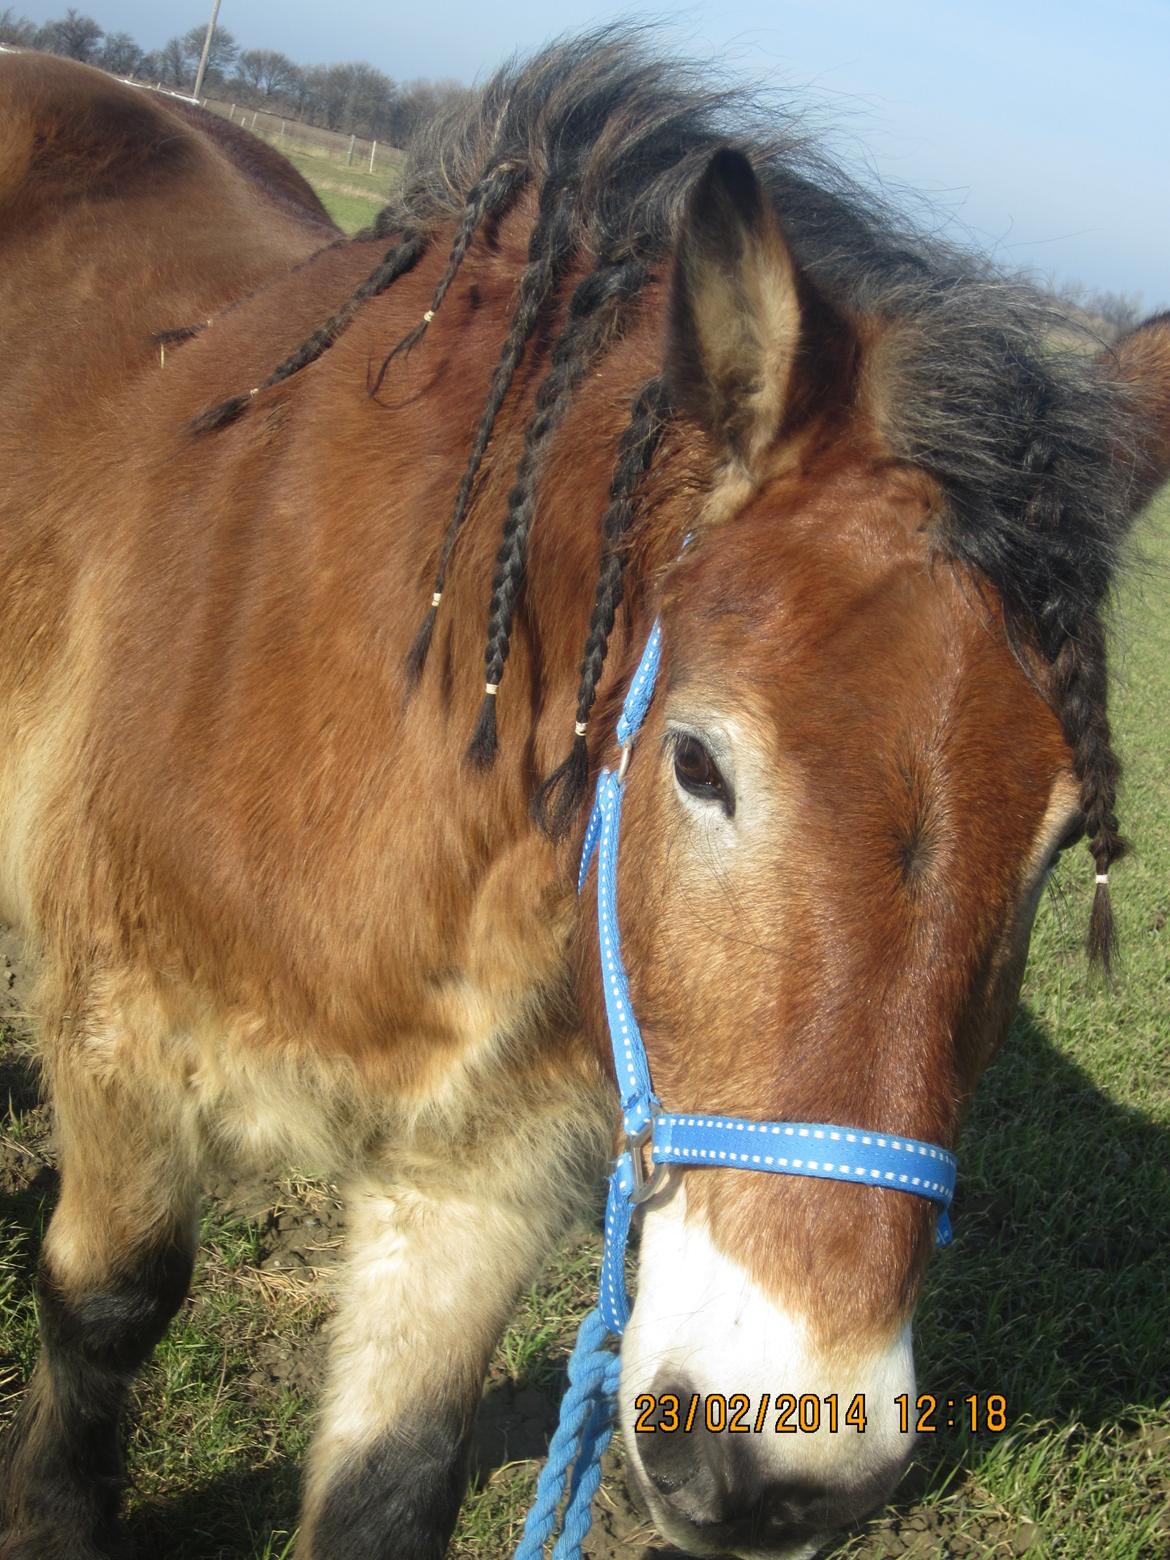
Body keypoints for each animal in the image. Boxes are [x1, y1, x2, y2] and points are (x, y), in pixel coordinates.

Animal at [0, 27, 1166, 1560]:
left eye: (1056, 846)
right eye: (698, 763)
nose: (790, 1475)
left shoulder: (476, 1184)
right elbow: (107, 1311)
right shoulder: (117, 1037)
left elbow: (390, 1482)